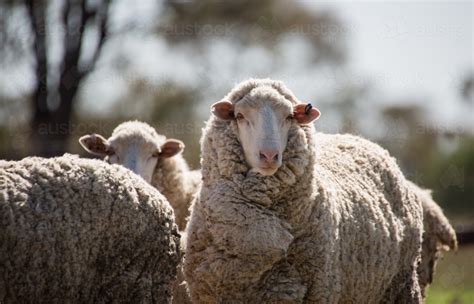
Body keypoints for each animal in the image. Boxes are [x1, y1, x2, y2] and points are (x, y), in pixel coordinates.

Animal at [183, 79, 424, 304]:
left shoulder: (319, 290)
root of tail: (359, 139)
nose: (269, 156)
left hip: (402, 284)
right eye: (239, 116)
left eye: (289, 116)